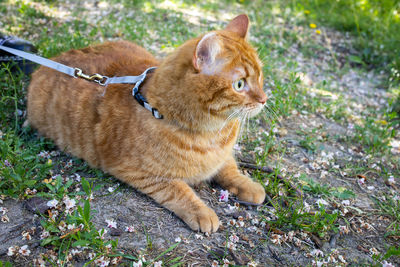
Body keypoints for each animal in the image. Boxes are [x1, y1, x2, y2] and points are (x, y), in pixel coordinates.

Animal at [27, 14, 266, 232]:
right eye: (239, 84)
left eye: (260, 77)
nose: (264, 99)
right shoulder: (140, 173)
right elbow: (178, 190)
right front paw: (202, 212)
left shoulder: (221, 156)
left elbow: (229, 167)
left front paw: (248, 185)